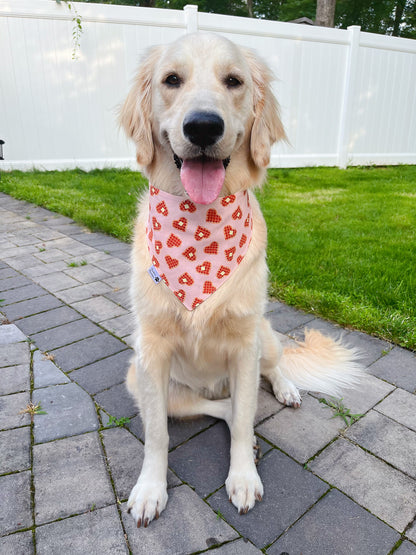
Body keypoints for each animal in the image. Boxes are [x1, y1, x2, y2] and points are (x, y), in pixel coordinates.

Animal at [118, 31, 362, 528]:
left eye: (234, 81)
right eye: (171, 80)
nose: (203, 127)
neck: (200, 227)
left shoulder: (245, 344)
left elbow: (249, 412)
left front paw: (243, 478)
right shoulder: (151, 352)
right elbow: (158, 434)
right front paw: (150, 489)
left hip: (263, 337)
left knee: (271, 372)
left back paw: (286, 390)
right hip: (145, 379)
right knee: (221, 408)